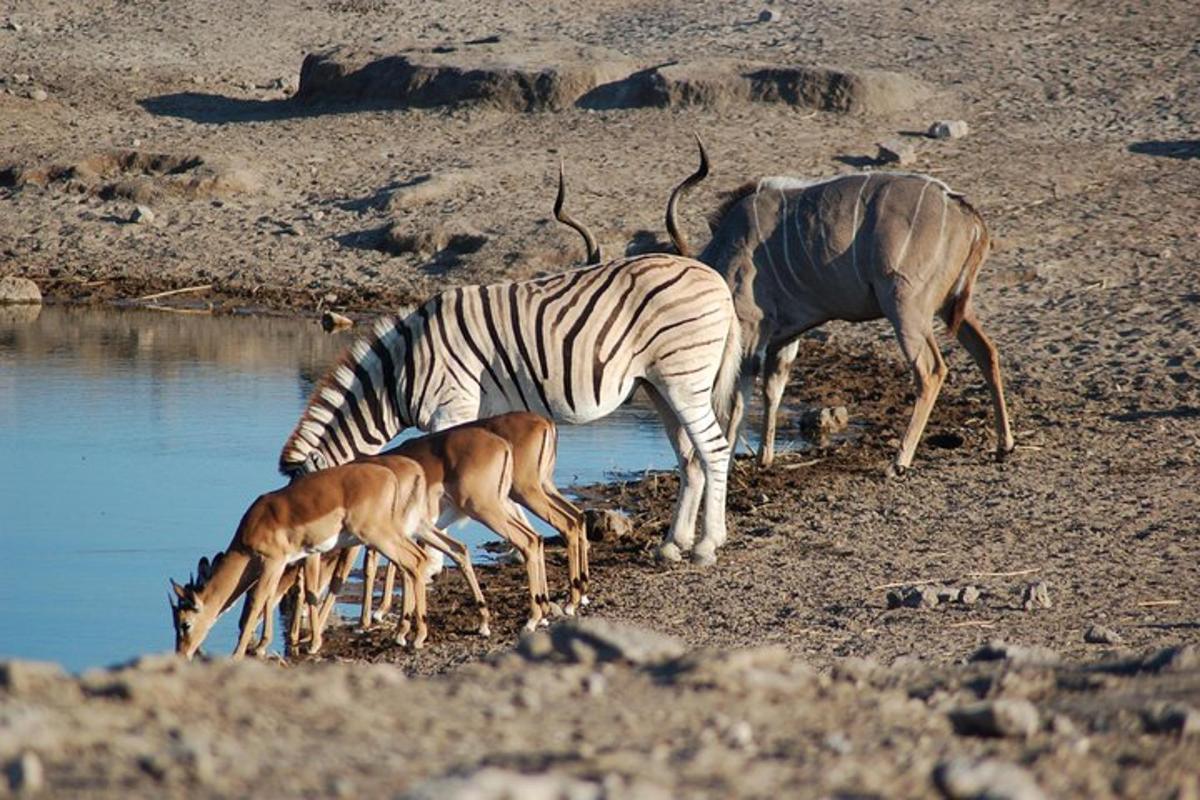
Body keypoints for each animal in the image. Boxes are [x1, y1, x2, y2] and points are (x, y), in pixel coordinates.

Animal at [282, 253, 744, 566]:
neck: (399, 373)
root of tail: (717, 281)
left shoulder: (452, 408)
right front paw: (517, 540)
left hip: (684, 379)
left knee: (714, 451)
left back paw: (707, 545)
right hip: (660, 386)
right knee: (690, 458)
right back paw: (673, 544)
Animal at [667, 140, 1012, 474]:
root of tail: (963, 210)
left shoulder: (751, 328)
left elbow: (740, 393)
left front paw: (729, 461)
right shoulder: (786, 335)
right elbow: (773, 388)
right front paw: (764, 458)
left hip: (905, 308)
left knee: (931, 371)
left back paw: (899, 462)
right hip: (951, 306)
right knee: (987, 352)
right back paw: (1003, 446)